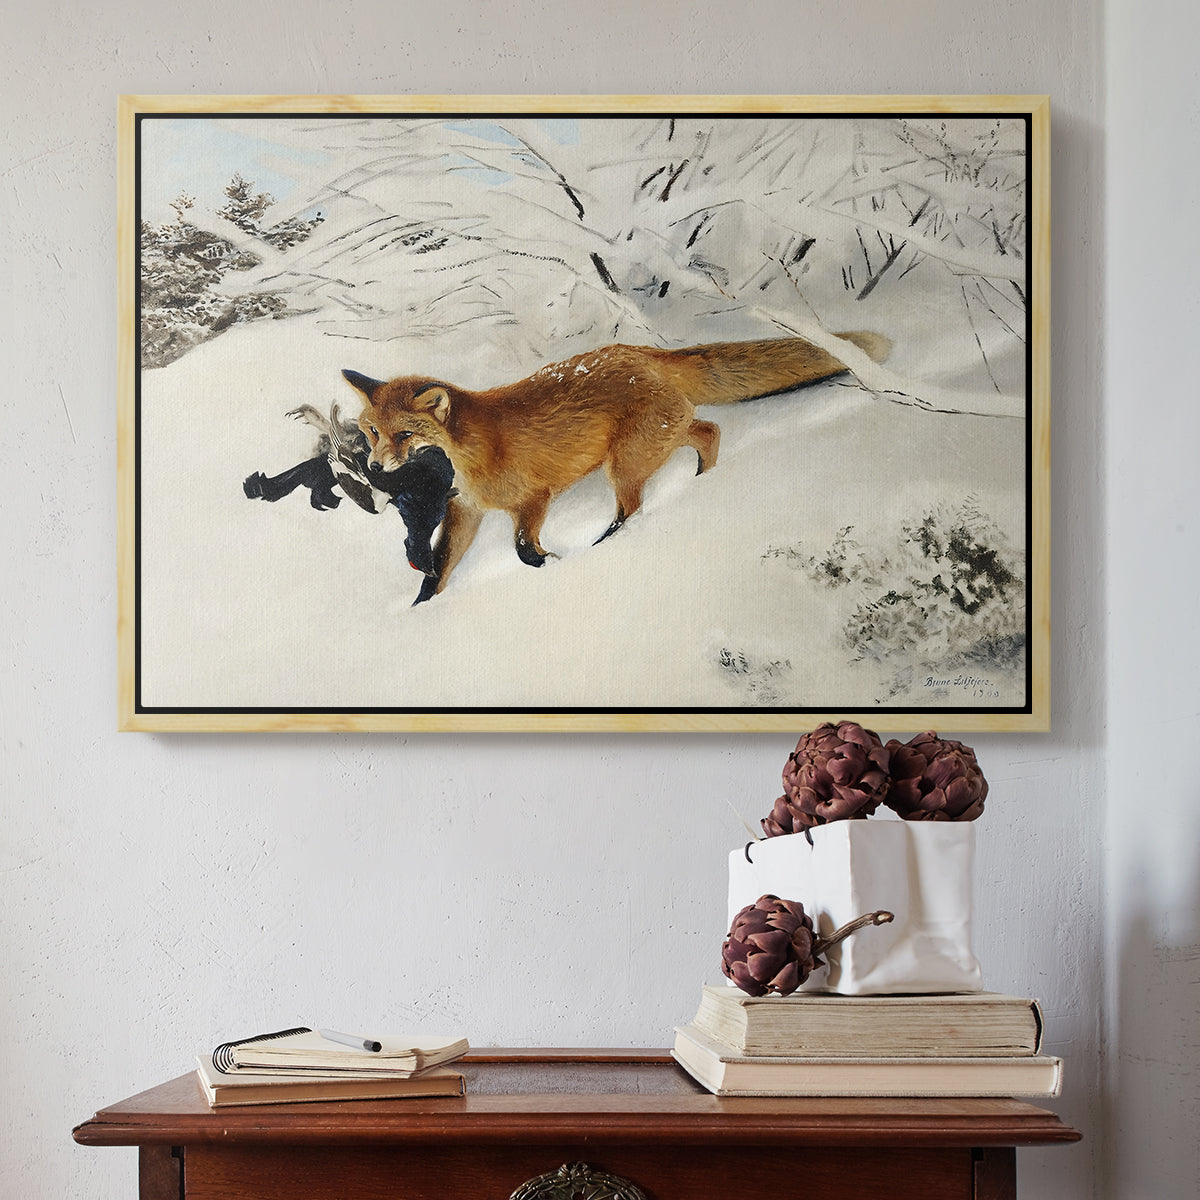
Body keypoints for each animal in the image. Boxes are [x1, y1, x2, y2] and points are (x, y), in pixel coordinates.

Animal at [343, 330, 891, 602]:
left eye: (404, 435)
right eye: (372, 431)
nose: (375, 465)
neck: (472, 453)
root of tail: (641, 352)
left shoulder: (533, 498)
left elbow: (523, 550)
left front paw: (553, 564)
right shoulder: (466, 511)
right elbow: (438, 569)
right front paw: (421, 611)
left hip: (624, 464)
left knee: (634, 507)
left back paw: (609, 543)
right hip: (655, 442)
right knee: (709, 430)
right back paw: (702, 481)